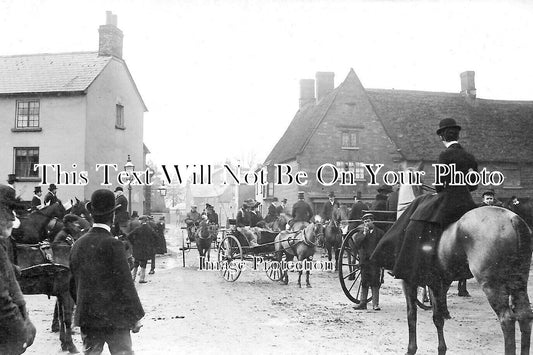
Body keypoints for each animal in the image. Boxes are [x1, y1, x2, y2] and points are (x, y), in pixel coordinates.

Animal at [388, 182, 528, 354]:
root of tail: (512, 218)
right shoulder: (437, 283)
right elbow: (437, 317)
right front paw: (441, 348)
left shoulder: (408, 281)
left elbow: (411, 315)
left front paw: (411, 349)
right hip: (519, 281)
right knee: (524, 315)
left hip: (492, 284)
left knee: (507, 319)